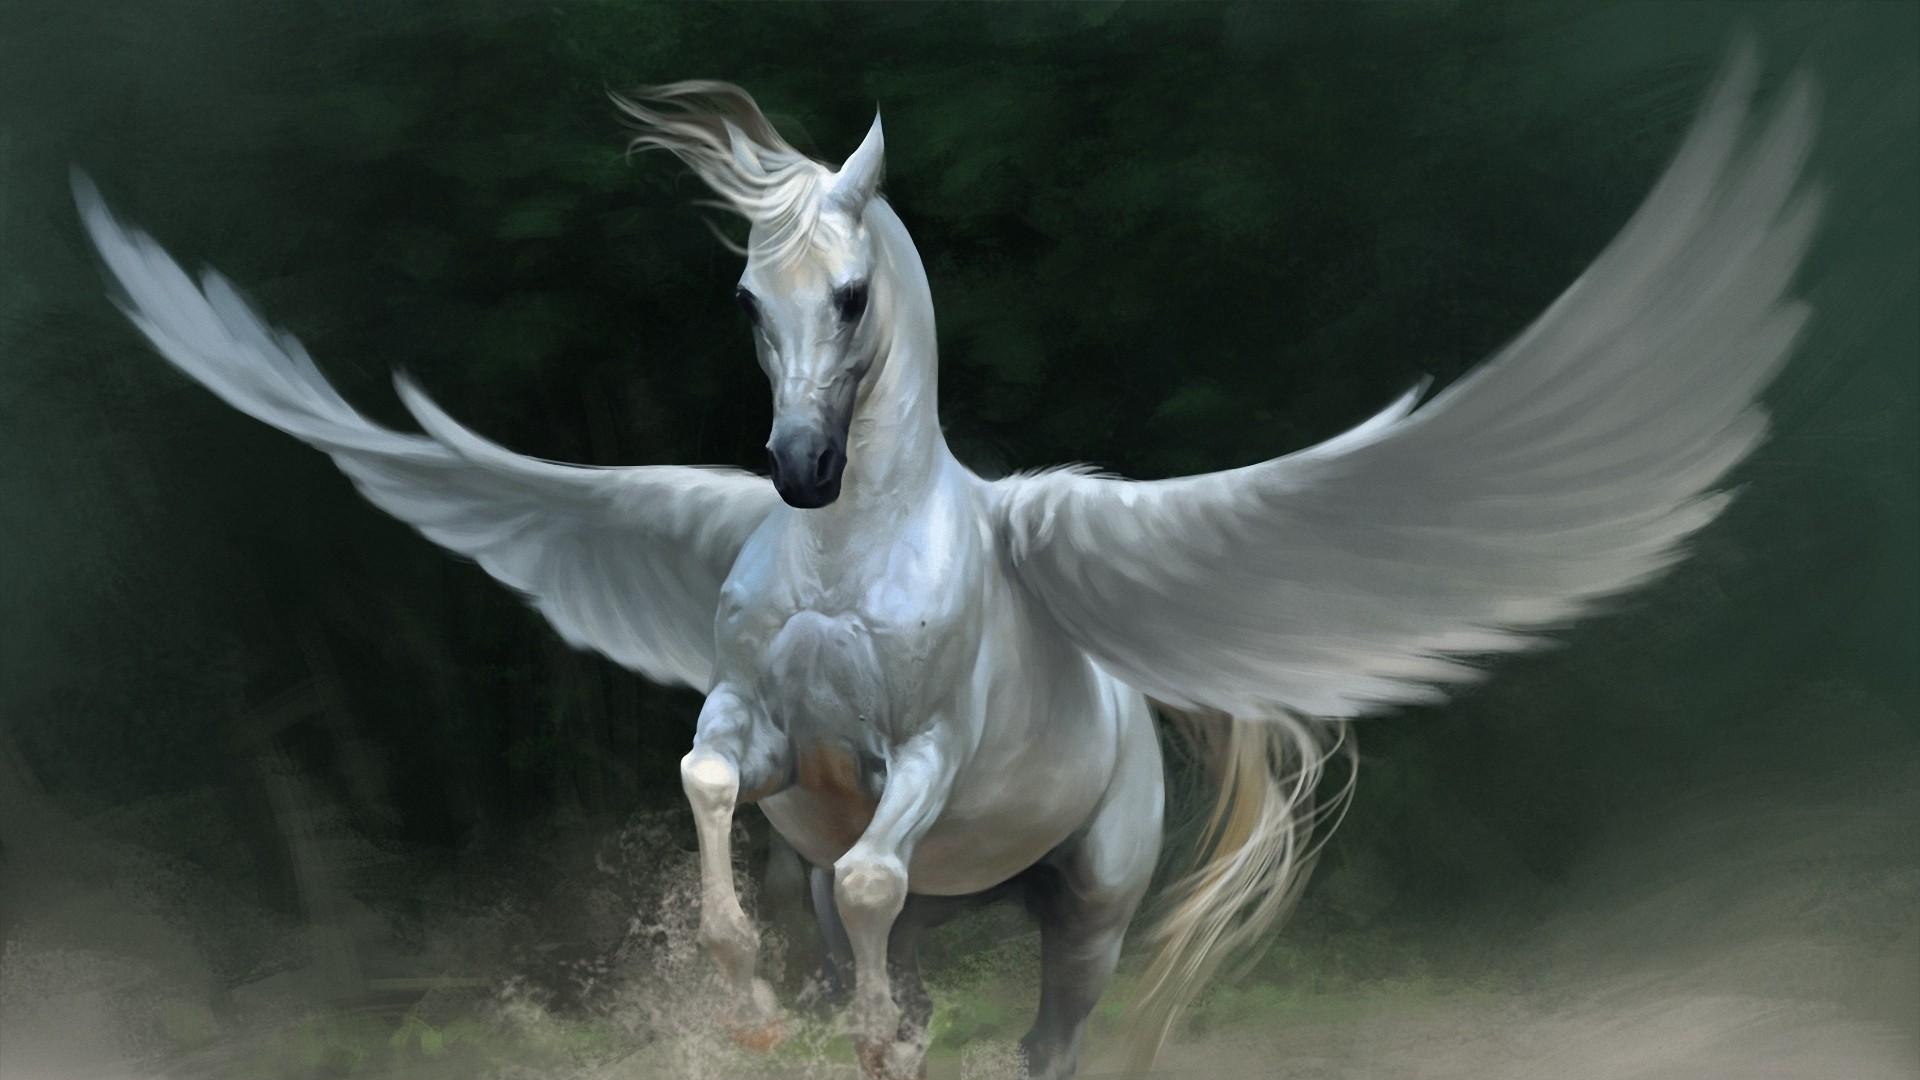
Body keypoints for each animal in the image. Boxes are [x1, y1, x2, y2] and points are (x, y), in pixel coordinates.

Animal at [76, 42, 1816, 1080]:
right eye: (748, 299)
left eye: (851, 296)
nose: (796, 467)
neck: (852, 550)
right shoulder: (761, 729)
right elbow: (722, 801)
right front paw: (752, 999)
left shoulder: (920, 751)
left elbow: (870, 871)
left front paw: (850, 1033)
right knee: (887, 925)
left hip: (1089, 908)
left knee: (1033, 1023)